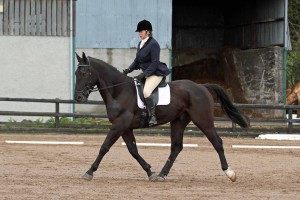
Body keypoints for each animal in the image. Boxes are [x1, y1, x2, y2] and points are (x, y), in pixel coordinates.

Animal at [74, 52, 248, 183]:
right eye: (76, 74)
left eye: (83, 73)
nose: (78, 98)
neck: (119, 91)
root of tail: (201, 86)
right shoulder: (125, 127)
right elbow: (133, 150)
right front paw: (150, 172)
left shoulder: (119, 125)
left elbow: (104, 147)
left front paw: (89, 172)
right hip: (178, 122)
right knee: (176, 147)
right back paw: (161, 175)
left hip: (203, 120)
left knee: (217, 142)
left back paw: (230, 173)